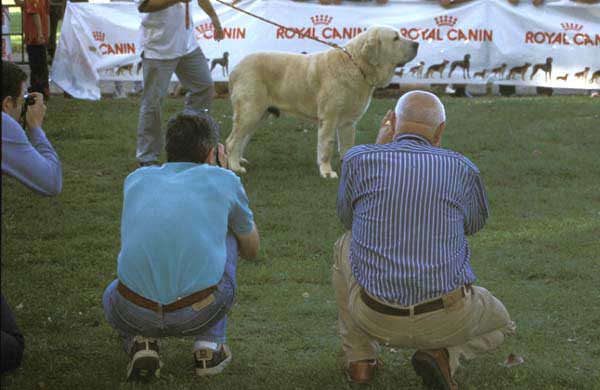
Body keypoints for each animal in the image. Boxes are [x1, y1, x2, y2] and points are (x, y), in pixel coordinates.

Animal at [225, 26, 418, 179]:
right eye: (395, 38)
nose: (416, 44)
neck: (357, 66)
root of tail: (236, 68)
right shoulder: (329, 118)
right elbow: (327, 146)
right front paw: (327, 172)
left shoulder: (349, 122)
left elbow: (347, 145)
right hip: (250, 111)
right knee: (232, 140)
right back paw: (235, 166)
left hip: (260, 114)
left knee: (242, 138)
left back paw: (239, 159)